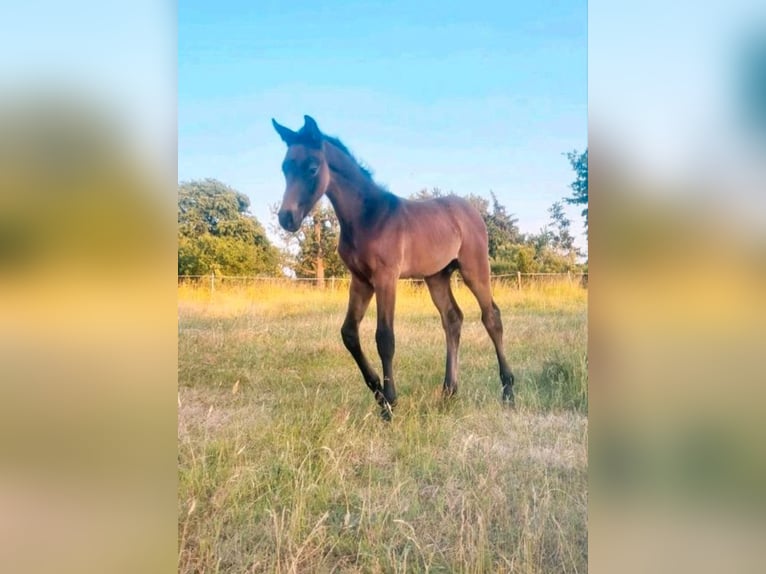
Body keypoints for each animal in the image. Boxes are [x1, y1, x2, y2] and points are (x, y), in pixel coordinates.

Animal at [272, 115, 516, 420]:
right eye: (285, 167)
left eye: (312, 168)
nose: (286, 218)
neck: (367, 217)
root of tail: (470, 210)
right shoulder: (360, 280)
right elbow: (349, 333)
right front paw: (378, 392)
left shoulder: (385, 277)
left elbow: (384, 338)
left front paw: (389, 403)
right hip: (436, 276)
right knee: (452, 319)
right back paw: (449, 392)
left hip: (474, 268)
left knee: (491, 316)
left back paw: (508, 391)